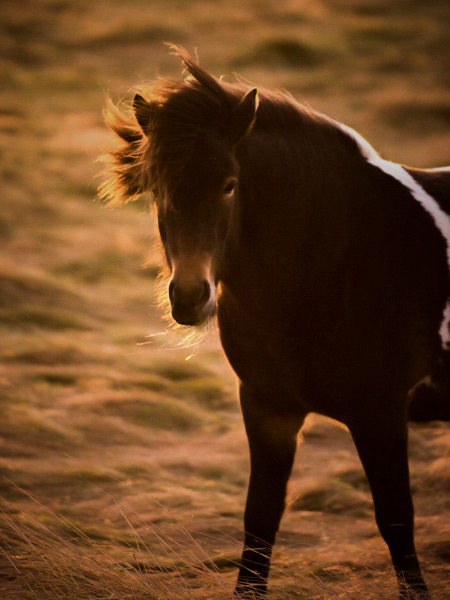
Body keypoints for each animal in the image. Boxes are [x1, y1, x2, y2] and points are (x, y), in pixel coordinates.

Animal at [99, 44, 450, 596]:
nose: (190, 298)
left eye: (229, 185)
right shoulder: (269, 409)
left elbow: (396, 521)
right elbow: (260, 522)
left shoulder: (381, 413)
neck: (335, 261)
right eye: (157, 188)